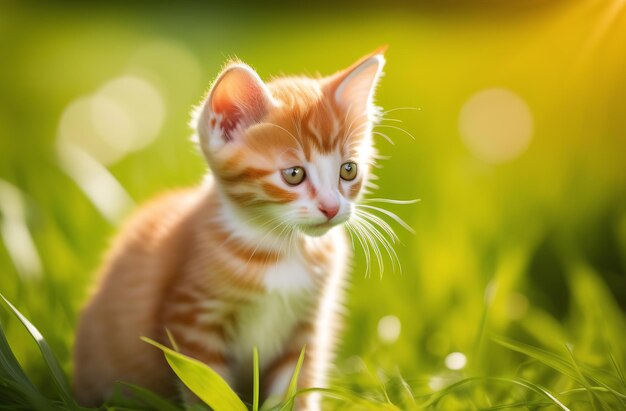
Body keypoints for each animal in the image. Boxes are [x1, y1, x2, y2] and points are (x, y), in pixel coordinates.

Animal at [73, 47, 386, 408]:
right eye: (293, 174)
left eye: (348, 170)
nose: (332, 207)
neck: (281, 246)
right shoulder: (192, 318)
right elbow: (207, 388)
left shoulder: (307, 327)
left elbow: (296, 386)